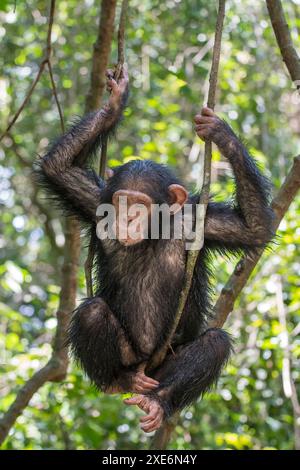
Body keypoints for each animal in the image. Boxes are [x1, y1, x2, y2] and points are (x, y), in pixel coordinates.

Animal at [37, 67, 274, 434]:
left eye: (139, 203)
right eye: (120, 201)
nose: (125, 217)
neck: (151, 235)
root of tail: (146, 369)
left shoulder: (200, 222)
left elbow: (254, 228)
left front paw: (220, 132)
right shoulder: (94, 203)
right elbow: (58, 169)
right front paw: (114, 104)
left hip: (165, 364)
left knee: (214, 344)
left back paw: (159, 401)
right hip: (132, 358)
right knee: (93, 313)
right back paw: (118, 381)